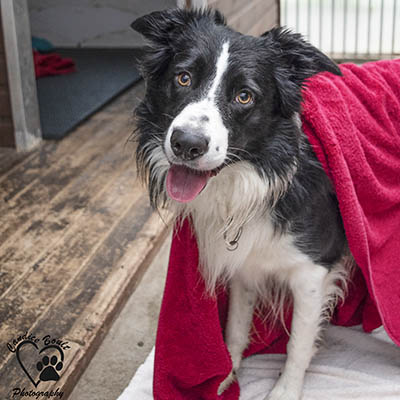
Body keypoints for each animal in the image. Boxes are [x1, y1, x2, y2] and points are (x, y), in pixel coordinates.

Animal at [130, 7, 352, 400]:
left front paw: (285, 390)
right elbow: (235, 325)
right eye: (183, 78)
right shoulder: (244, 264)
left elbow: (298, 342)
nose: (187, 144)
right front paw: (224, 377)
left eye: (245, 96)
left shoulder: (314, 269)